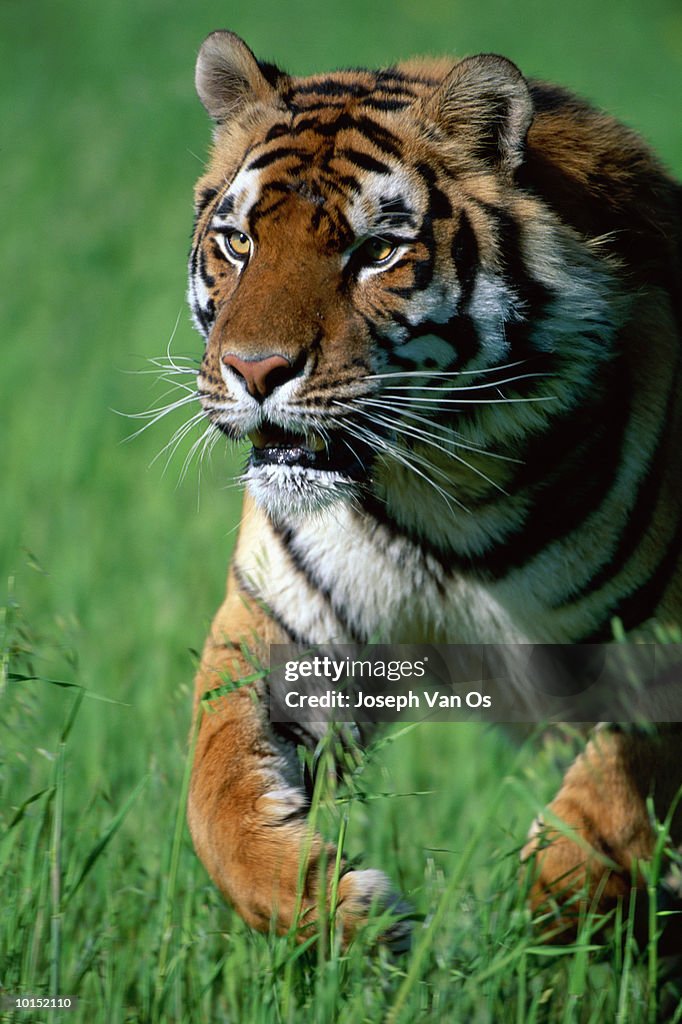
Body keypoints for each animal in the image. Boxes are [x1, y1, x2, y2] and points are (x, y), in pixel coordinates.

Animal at [183, 29, 679, 942]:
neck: (447, 485)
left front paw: (518, 929)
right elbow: (218, 794)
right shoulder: (287, 627)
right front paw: (342, 909)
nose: (254, 370)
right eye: (238, 242)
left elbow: (607, 815)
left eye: (376, 252)